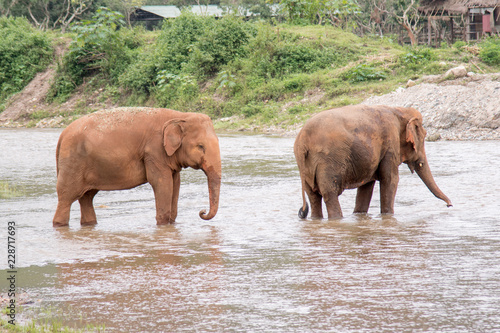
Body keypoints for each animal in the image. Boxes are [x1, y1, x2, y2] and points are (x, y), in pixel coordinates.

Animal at [52, 106, 221, 226]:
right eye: (200, 146)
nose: (202, 211)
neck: (179, 116)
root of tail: (62, 135)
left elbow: (175, 183)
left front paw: (172, 224)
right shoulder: (154, 151)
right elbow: (162, 183)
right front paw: (163, 225)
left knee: (87, 198)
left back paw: (89, 224)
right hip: (72, 163)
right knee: (66, 197)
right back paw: (60, 224)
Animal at [292, 104, 454, 218]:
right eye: (424, 136)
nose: (449, 205)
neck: (399, 110)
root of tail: (302, 141)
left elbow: (367, 186)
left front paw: (359, 216)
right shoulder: (390, 143)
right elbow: (390, 179)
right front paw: (388, 216)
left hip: (305, 167)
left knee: (313, 197)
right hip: (328, 161)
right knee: (330, 194)